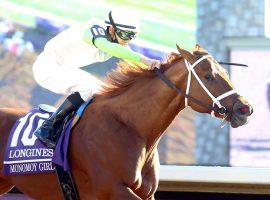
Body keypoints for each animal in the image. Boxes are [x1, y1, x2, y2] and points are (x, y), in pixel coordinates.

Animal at [0, 44, 253, 199]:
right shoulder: (113, 189)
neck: (130, 127)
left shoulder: (146, 193)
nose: (245, 109)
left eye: (225, 73)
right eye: (208, 76)